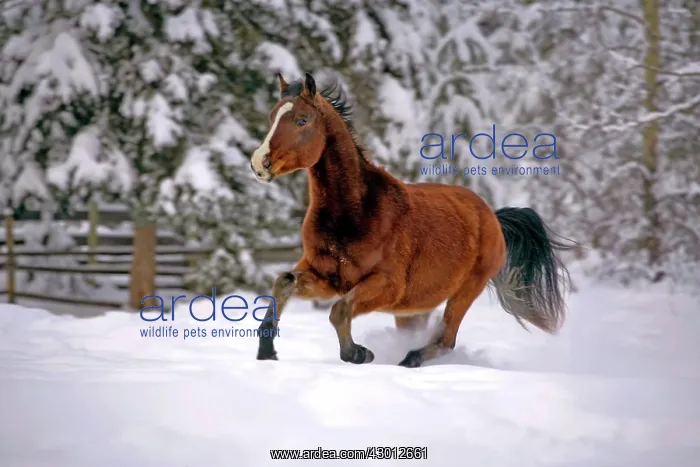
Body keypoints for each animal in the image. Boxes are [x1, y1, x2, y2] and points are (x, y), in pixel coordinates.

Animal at [250, 72, 573, 368]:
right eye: (271, 117)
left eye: (302, 120)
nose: (258, 164)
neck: (354, 214)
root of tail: (492, 216)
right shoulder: (327, 276)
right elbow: (283, 282)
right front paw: (267, 353)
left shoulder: (387, 286)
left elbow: (339, 311)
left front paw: (359, 354)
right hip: (415, 308)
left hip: (467, 289)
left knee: (446, 340)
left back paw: (409, 360)